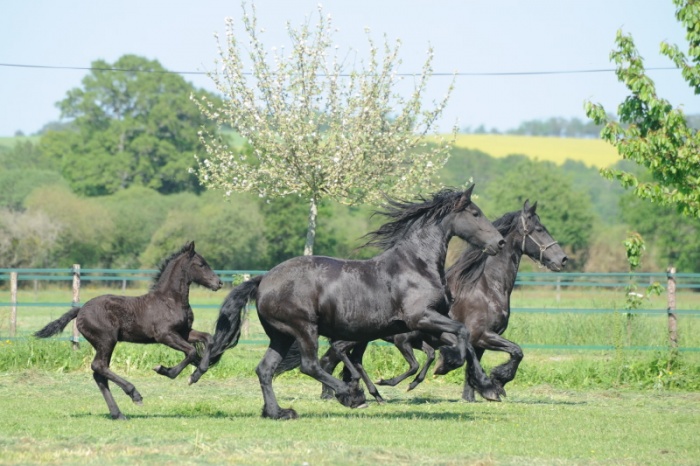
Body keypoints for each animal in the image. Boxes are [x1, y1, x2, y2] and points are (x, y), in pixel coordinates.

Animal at [34, 242, 221, 420]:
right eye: (201, 264)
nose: (219, 283)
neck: (169, 300)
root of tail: (80, 310)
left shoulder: (184, 332)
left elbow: (208, 339)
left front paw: (198, 373)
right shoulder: (165, 335)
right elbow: (190, 352)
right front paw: (165, 370)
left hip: (103, 344)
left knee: (99, 374)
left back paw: (118, 414)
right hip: (107, 340)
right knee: (98, 366)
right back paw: (134, 394)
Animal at [194, 186, 506, 418]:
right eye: (475, 213)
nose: (500, 242)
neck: (415, 265)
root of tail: (264, 280)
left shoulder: (426, 324)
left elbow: (461, 341)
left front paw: (485, 385)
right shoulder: (421, 318)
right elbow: (462, 335)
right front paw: (464, 373)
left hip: (281, 335)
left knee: (266, 369)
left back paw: (278, 412)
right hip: (303, 329)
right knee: (310, 365)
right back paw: (352, 396)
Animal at [314, 199, 568, 400]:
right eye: (539, 229)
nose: (563, 259)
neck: (484, 287)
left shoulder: (478, 341)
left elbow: (473, 366)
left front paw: (479, 391)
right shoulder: (483, 336)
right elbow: (516, 351)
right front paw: (496, 381)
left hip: (363, 338)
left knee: (343, 359)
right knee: (331, 357)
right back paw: (336, 394)